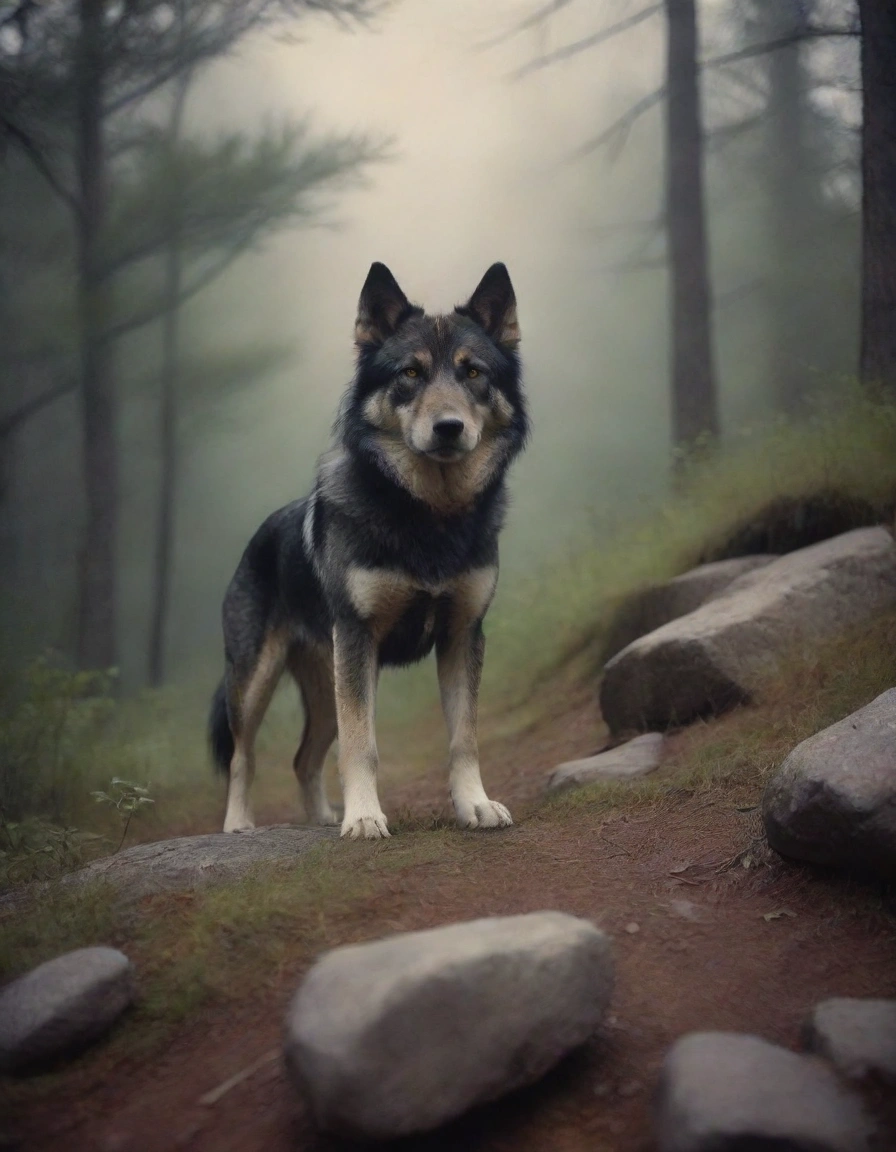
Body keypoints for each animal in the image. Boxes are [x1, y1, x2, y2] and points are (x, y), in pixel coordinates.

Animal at [206, 259, 527, 838]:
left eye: (473, 373)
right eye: (411, 374)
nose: (449, 428)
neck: (428, 514)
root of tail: (258, 535)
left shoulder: (462, 635)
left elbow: (463, 738)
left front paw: (476, 806)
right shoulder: (358, 639)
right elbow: (364, 746)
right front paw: (363, 818)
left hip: (326, 684)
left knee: (303, 759)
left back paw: (318, 819)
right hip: (259, 682)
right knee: (245, 757)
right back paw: (240, 825)